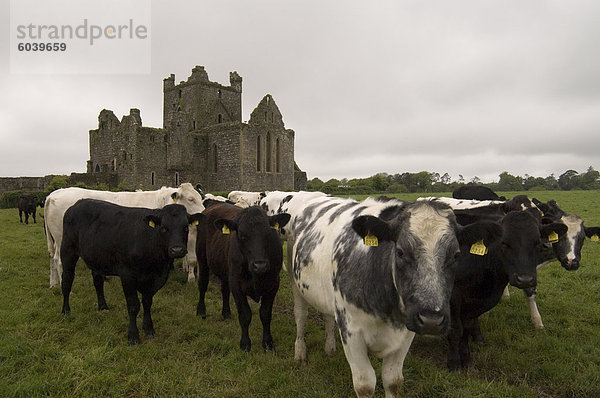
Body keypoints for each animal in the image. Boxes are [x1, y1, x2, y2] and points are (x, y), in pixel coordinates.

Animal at [43, 182, 205, 288]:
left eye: (200, 197)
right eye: (191, 199)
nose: (204, 214)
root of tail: (53, 195)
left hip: (55, 240)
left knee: (51, 258)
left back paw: (53, 284)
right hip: (63, 240)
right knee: (59, 260)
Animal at [60, 199, 204, 346]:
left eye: (185, 227)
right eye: (164, 228)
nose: (177, 250)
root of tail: (79, 202)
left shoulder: (155, 278)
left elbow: (147, 302)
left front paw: (149, 329)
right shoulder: (127, 275)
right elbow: (133, 305)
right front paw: (133, 336)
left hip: (97, 258)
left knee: (98, 281)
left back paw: (103, 306)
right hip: (67, 250)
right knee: (67, 280)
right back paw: (66, 310)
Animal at [195, 204, 290, 352]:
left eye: (268, 233)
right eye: (242, 235)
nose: (260, 265)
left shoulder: (273, 283)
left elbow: (266, 314)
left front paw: (268, 342)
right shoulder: (237, 284)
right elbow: (245, 314)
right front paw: (245, 344)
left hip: (225, 270)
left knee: (224, 290)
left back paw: (226, 313)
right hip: (202, 258)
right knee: (203, 285)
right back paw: (201, 311)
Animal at [288, 197, 500, 398]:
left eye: (456, 255)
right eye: (400, 252)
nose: (431, 320)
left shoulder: (406, 333)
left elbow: (393, 381)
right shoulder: (351, 332)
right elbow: (365, 385)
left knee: (328, 316)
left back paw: (330, 348)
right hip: (296, 284)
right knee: (300, 316)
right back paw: (300, 353)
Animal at [448, 210, 568, 372]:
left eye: (538, 243)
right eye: (504, 243)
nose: (525, 279)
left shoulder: (474, 300)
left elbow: (466, 328)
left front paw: (466, 359)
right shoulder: (452, 295)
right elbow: (455, 329)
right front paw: (454, 364)